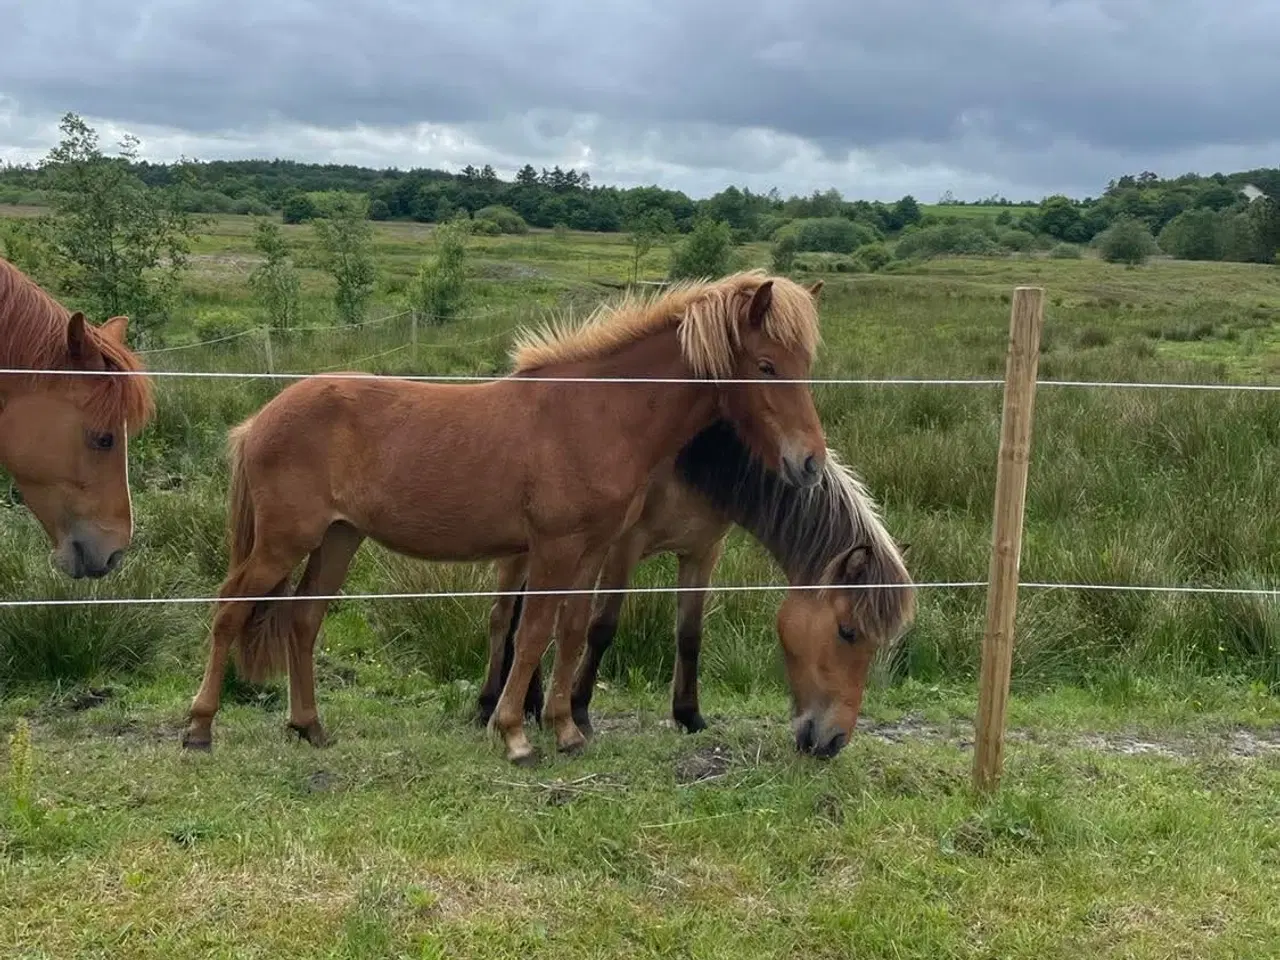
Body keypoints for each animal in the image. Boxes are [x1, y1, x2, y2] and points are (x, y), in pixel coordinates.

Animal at [183, 272, 829, 768]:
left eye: (805, 363)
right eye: (766, 365)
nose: (809, 463)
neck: (598, 411)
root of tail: (259, 420)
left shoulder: (592, 550)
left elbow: (571, 631)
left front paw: (566, 729)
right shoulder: (552, 547)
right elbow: (533, 632)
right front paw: (516, 733)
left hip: (338, 539)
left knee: (303, 620)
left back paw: (310, 727)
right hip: (283, 542)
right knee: (229, 609)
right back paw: (199, 729)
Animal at [478, 419, 911, 757]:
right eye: (848, 632)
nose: (834, 742)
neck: (697, 458)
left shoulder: (703, 550)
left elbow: (689, 634)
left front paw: (689, 715)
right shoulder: (624, 545)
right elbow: (601, 627)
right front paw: (580, 711)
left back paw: (530, 702)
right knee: (504, 616)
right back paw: (489, 703)